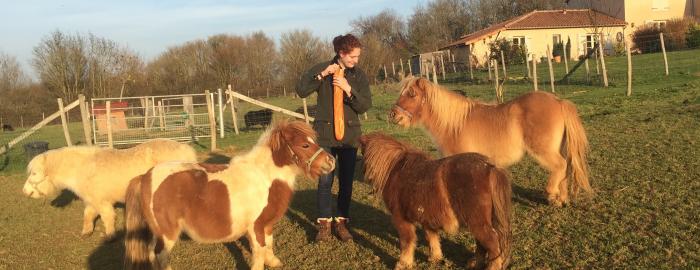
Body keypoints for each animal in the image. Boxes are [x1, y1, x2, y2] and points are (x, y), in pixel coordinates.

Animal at [22, 139, 197, 238]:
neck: (82, 168)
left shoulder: (101, 201)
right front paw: (86, 232)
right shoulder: (92, 200)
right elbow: (88, 215)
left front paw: (110, 235)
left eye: (35, 173)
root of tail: (186, 150)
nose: (25, 192)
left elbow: (107, 217)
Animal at [358, 133, 512, 270]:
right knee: (482, 244)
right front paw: (435, 258)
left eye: (363, 154)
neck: (395, 171)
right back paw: (474, 264)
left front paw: (403, 263)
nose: (366, 175)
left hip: (478, 223)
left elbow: (407, 241)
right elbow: (431, 237)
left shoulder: (401, 219)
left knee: (492, 243)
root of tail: (490, 167)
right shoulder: (426, 218)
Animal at [388, 77, 592, 206]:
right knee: (565, 169)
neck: (453, 124)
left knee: (560, 165)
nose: (393, 115)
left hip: (543, 150)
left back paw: (551, 194)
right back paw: (561, 200)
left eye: (412, 94)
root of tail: (559, 101)